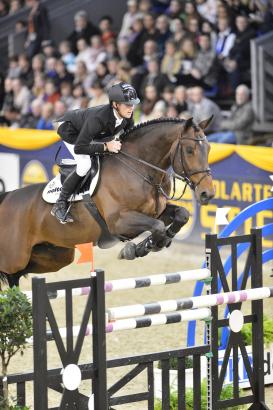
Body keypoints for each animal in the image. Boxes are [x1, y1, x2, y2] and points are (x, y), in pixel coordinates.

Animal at [0, 117, 214, 286]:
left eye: (209, 148)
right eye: (189, 150)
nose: (207, 194)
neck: (141, 170)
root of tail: (7, 197)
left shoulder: (156, 212)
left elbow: (181, 215)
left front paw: (153, 244)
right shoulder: (119, 222)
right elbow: (157, 226)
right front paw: (137, 249)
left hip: (54, 255)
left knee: (17, 275)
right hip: (14, 258)